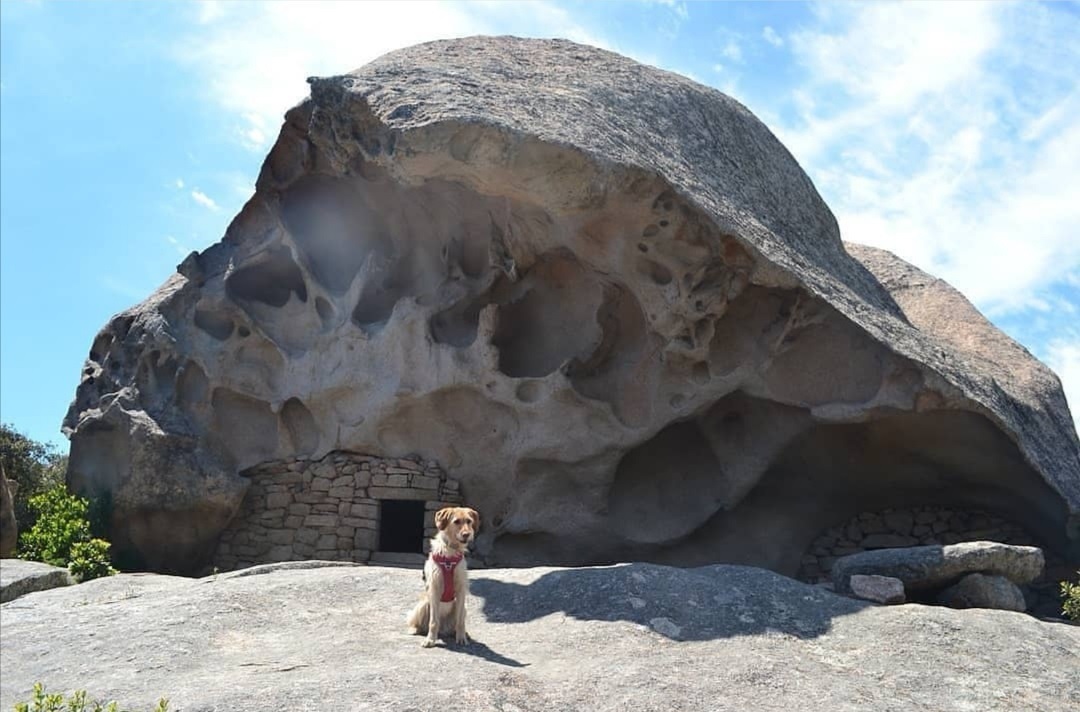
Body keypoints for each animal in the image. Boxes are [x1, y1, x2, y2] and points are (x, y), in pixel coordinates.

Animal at [403, 507, 479, 648]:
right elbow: (433, 622)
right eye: (456, 521)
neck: (450, 551)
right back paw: (414, 629)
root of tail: (444, 629)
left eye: (469, 521)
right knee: (419, 623)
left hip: (463, 608)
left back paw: (461, 633)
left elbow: (460, 621)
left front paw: (461, 637)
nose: (467, 534)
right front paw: (430, 640)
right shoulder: (435, 589)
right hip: (422, 605)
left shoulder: (461, 590)